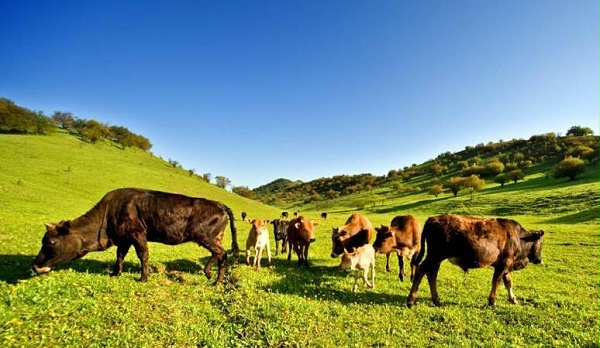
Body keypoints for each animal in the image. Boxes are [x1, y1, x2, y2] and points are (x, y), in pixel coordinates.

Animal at [28, 188, 239, 282]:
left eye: (50, 242)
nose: (34, 267)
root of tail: (220, 204)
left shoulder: (137, 233)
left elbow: (143, 255)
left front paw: (143, 278)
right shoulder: (124, 238)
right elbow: (120, 255)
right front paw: (115, 273)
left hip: (204, 235)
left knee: (222, 254)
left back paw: (217, 281)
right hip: (214, 236)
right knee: (218, 253)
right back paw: (208, 273)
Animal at [408, 215, 544, 308]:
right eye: (541, 243)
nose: (540, 259)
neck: (518, 237)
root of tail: (432, 219)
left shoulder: (505, 266)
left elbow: (508, 282)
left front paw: (513, 299)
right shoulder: (503, 264)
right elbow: (496, 282)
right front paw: (492, 301)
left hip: (436, 259)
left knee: (431, 275)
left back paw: (436, 300)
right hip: (434, 256)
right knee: (421, 271)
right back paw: (411, 300)